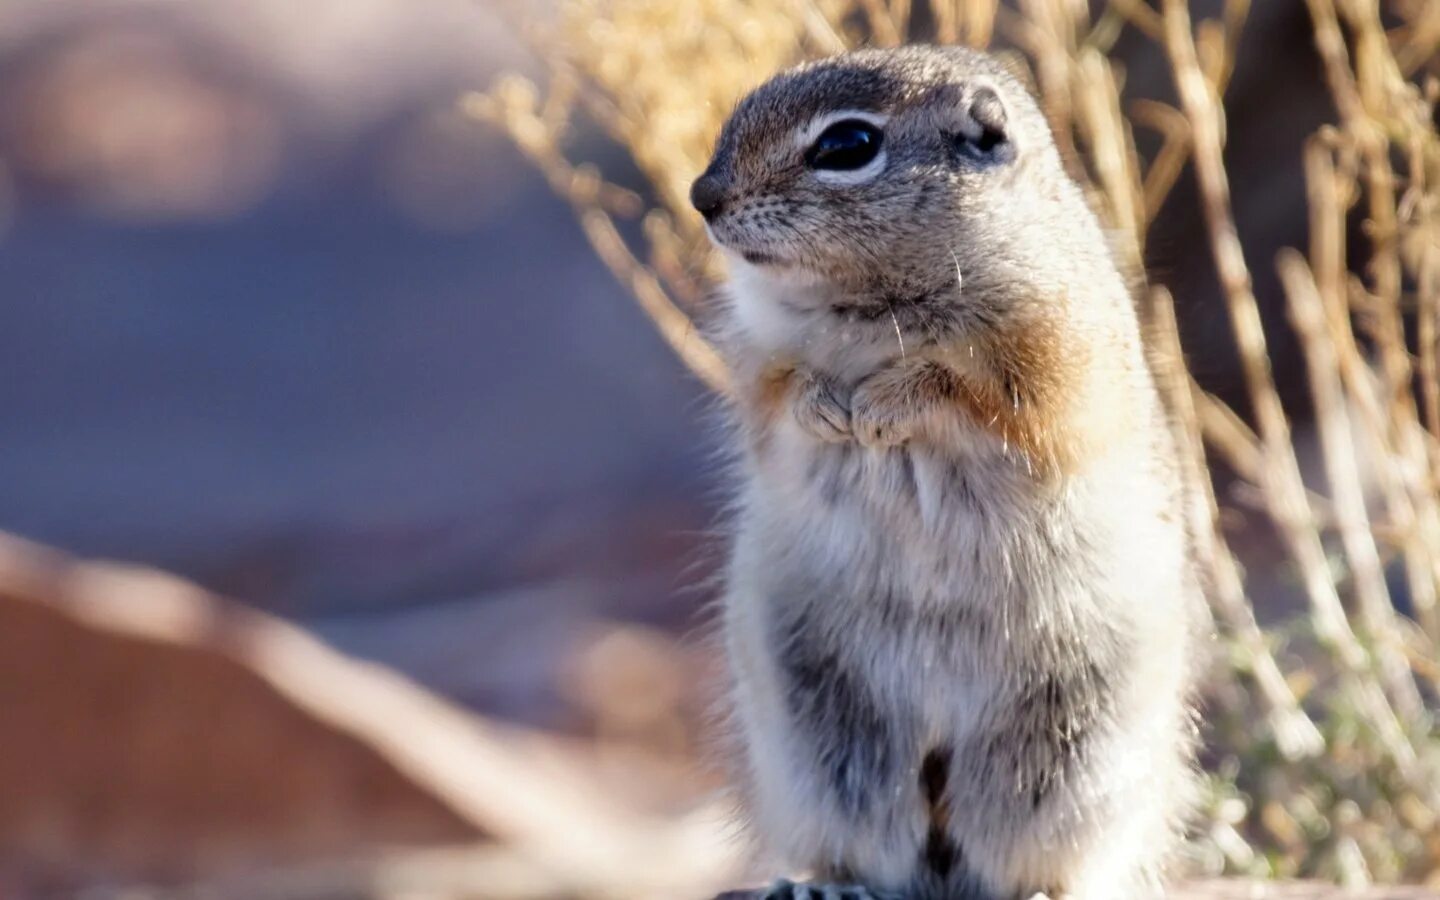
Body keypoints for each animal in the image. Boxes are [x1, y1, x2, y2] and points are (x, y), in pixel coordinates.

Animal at [694, 45, 1203, 892]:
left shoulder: (1053, 361)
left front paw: (883, 405)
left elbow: (966, 387)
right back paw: (822, 883)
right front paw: (829, 408)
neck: (868, 306)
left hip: (1065, 759)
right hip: (822, 747)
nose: (701, 196)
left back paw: (1045, 890)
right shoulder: (756, 359)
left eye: (847, 145)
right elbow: (783, 393)